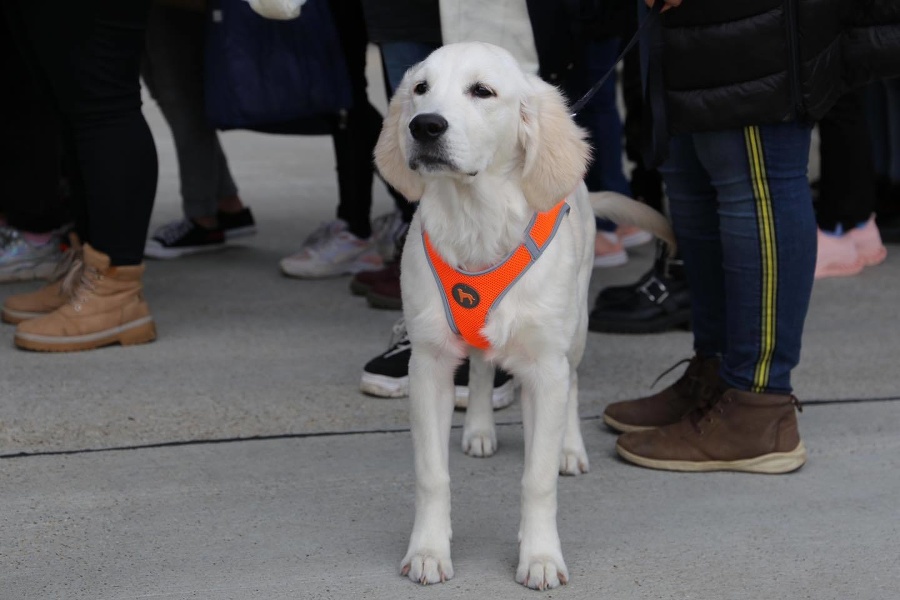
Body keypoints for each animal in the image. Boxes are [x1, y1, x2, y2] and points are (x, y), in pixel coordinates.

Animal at [374, 42, 676, 592]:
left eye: (482, 91)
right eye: (420, 88)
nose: (424, 126)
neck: (477, 219)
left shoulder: (544, 366)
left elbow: (536, 480)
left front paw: (539, 557)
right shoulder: (427, 365)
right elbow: (432, 474)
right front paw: (428, 550)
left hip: (573, 333)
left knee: (572, 382)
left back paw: (568, 449)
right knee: (482, 364)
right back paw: (478, 429)